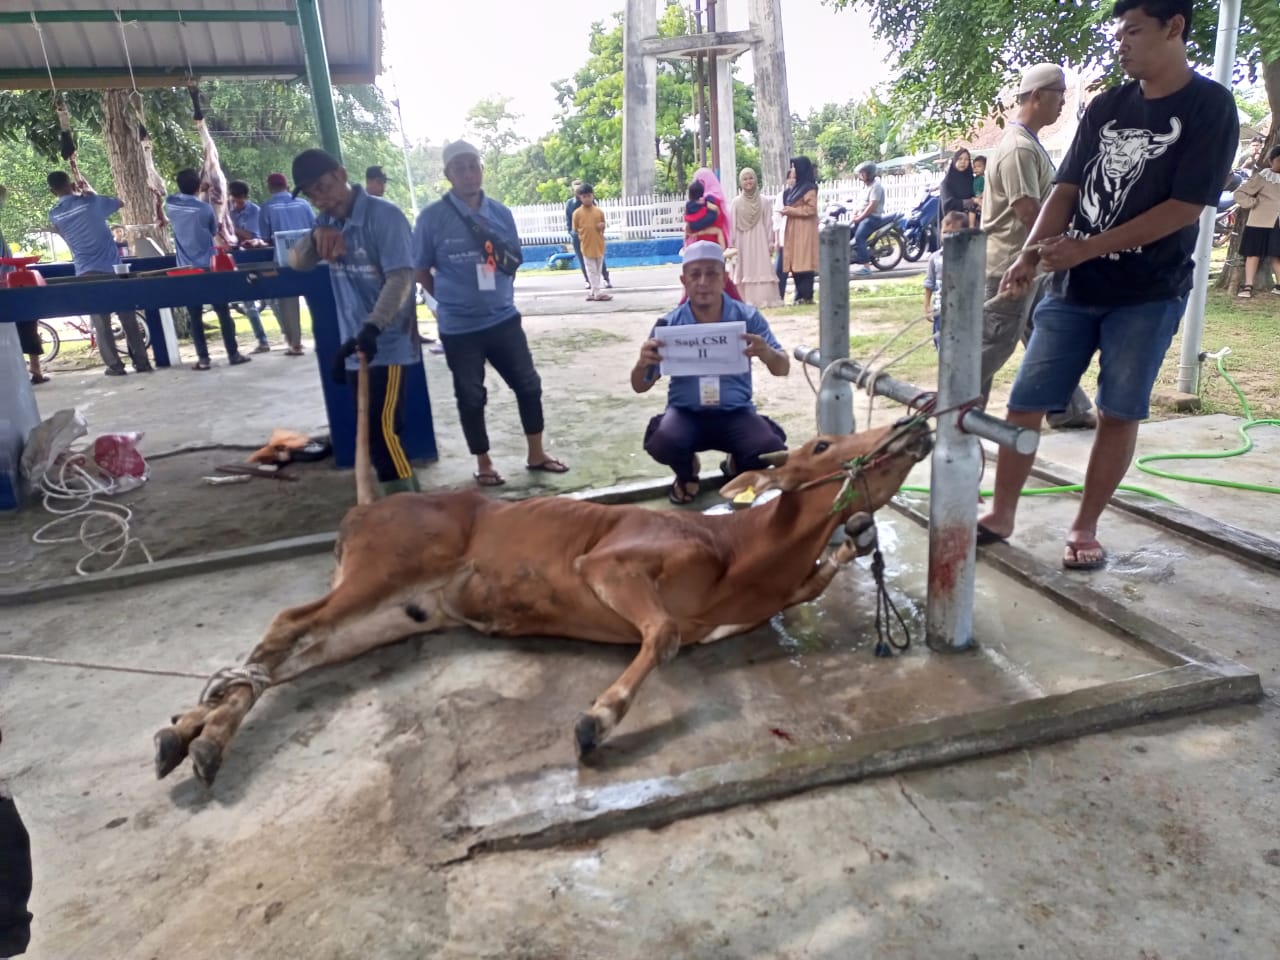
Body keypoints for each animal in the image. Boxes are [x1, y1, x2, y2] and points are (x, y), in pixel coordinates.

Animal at [154, 391, 931, 788]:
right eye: (821, 445)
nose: (913, 423)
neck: (740, 557)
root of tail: (369, 506)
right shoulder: (611, 562)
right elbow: (664, 634)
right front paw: (597, 720)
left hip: (394, 614)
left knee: (290, 658)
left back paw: (192, 734)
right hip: (382, 570)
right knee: (288, 622)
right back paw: (201, 738)